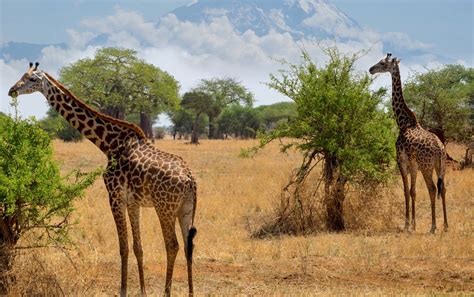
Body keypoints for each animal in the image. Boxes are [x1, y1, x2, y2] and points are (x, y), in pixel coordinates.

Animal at [7, 62, 196, 294]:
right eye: (22, 76)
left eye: (32, 79)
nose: (12, 90)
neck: (108, 143)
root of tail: (190, 179)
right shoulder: (133, 202)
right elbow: (138, 247)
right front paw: (142, 291)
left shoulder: (114, 196)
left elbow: (123, 247)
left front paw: (123, 291)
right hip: (185, 209)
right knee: (188, 246)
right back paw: (191, 293)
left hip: (165, 208)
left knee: (172, 245)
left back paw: (167, 292)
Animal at [370, 53, 448, 234]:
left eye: (382, 63)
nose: (371, 69)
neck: (403, 122)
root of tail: (439, 149)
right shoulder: (413, 164)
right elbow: (413, 191)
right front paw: (413, 224)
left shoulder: (402, 160)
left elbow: (406, 191)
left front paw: (406, 225)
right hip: (439, 165)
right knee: (443, 188)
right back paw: (446, 225)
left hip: (427, 166)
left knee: (433, 188)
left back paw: (433, 227)